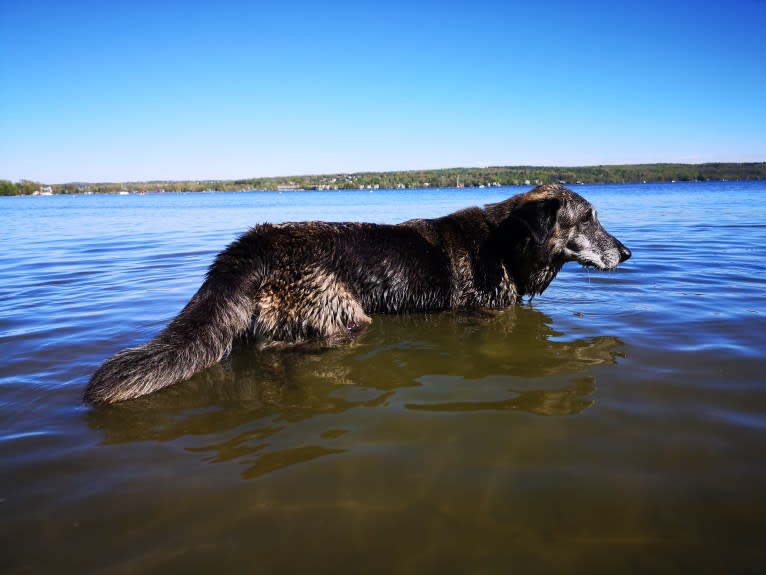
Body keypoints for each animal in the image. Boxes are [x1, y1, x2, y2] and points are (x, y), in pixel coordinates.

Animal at [84, 184, 632, 404]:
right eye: (588, 219)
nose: (627, 253)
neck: (507, 244)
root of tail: (249, 245)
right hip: (344, 318)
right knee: (279, 347)